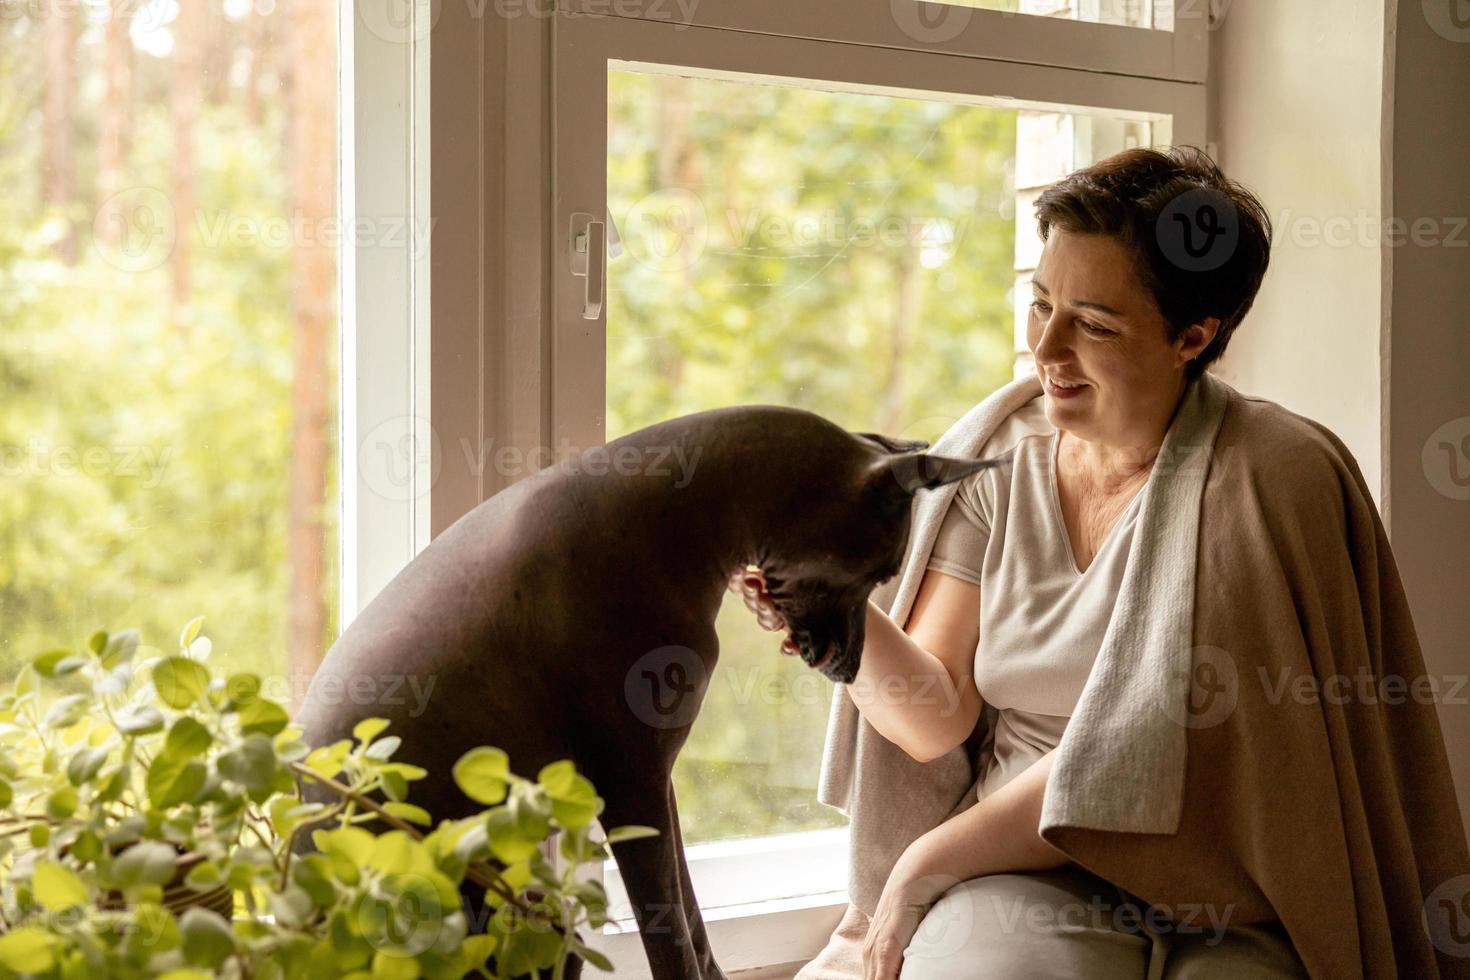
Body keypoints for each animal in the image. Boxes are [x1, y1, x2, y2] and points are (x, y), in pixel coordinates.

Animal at [292, 405, 1005, 980]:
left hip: (534, 909)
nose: (850, 667)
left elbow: (691, 921)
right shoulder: (630, 790)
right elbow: (669, 936)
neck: (674, 521)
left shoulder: (655, 789)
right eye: (876, 574)